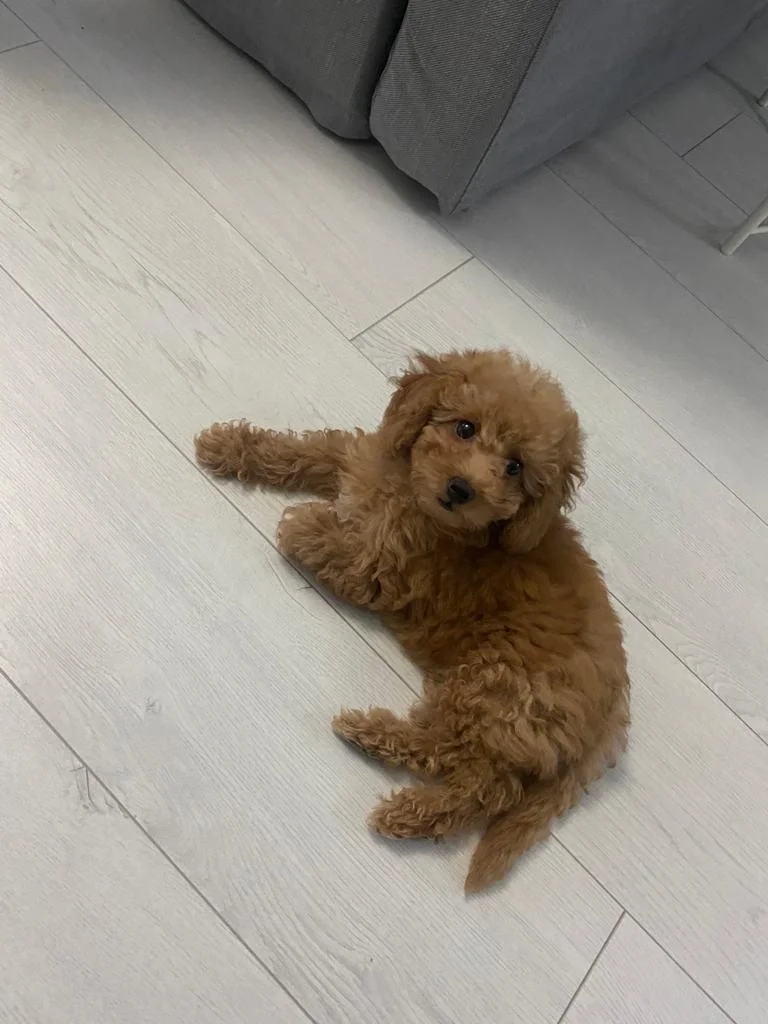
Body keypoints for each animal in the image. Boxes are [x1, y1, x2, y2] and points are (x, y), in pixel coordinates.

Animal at [195, 349, 629, 892]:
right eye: (464, 428)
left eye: (515, 468)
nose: (462, 489)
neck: (413, 498)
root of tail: (612, 711)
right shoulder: (363, 458)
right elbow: (312, 450)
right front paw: (228, 445)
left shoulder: (381, 573)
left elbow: (329, 545)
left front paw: (305, 522)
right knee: (484, 779)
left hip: (493, 685)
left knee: (468, 768)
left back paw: (382, 764)